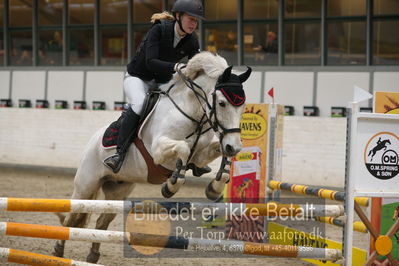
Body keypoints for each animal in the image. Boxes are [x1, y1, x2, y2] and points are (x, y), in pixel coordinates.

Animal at [54, 51, 252, 262]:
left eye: (243, 106)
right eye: (222, 103)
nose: (234, 146)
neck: (191, 113)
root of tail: (92, 140)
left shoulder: (199, 156)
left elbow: (217, 155)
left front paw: (215, 187)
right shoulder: (159, 150)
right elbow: (183, 148)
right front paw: (171, 186)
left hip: (119, 190)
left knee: (101, 222)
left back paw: (92, 255)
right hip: (86, 185)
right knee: (72, 217)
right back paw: (58, 249)